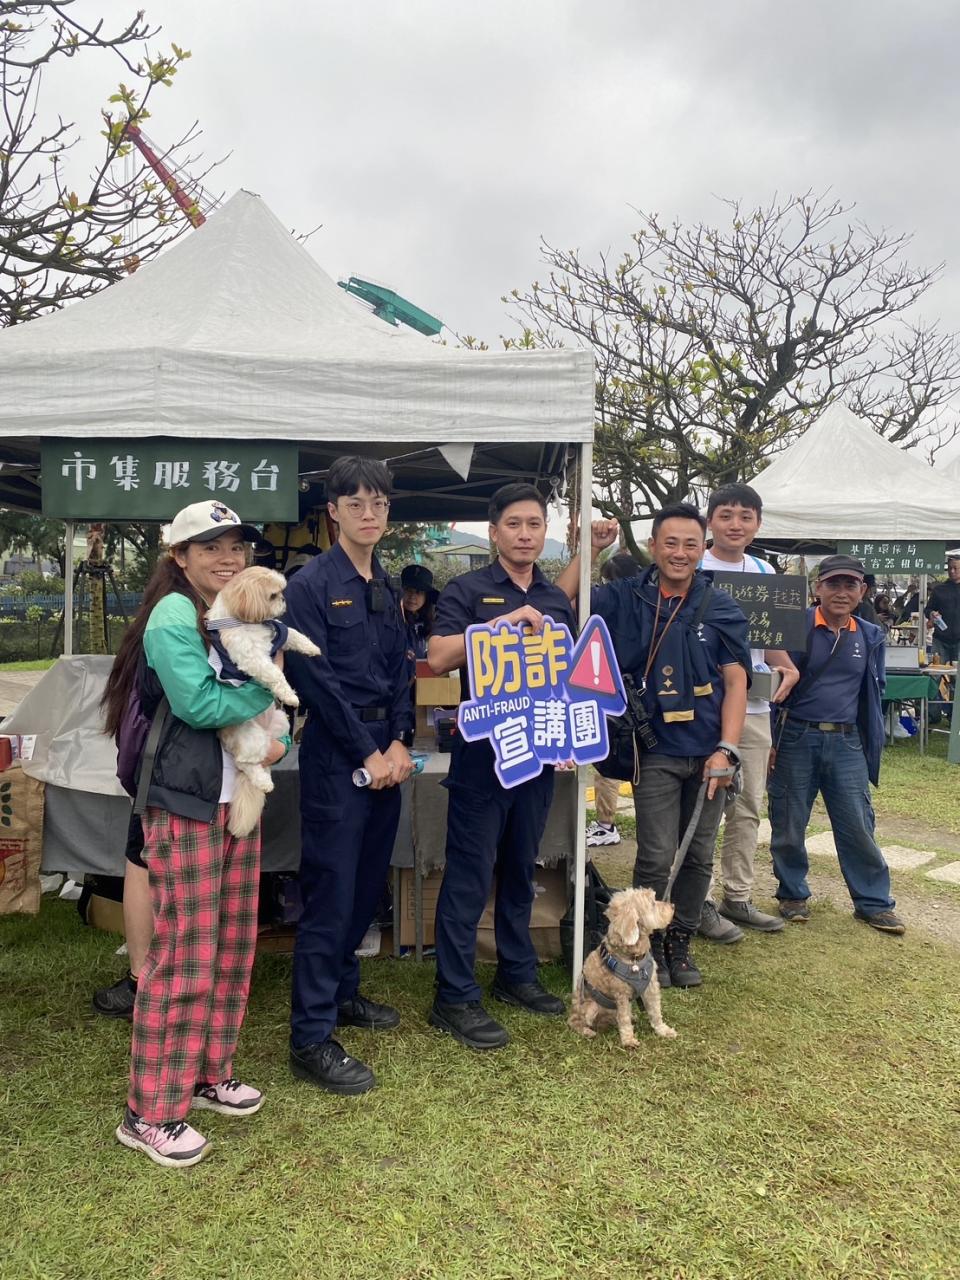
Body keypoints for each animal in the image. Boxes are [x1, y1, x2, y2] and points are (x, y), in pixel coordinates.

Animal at [206, 570, 320, 839]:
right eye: (273, 595)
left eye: (281, 592)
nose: (284, 601)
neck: (245, 621)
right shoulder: (252, 657)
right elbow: (274, 673)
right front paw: (290, 696)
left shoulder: (278, 633)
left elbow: (295, 634)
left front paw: (313, 648)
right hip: (251, 738)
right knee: (245, 763)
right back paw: (263, 782)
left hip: (280, 722)